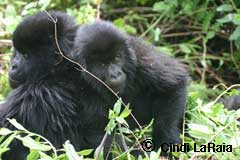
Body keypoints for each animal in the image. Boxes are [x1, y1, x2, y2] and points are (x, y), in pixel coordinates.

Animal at [71, 20, 189, 157]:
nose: (115, 74)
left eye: (117, 57)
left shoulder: (140, 56)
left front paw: (166, 139)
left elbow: (175, 84)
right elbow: (90, 134)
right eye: (102, 64)